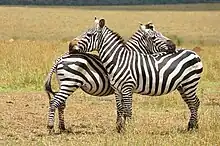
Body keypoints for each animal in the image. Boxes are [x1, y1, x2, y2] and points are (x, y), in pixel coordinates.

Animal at [45, 22, 175, 133]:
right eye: (154, 37)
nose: (173, 45)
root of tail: (61, 58)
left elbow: (120, 108)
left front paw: (119, 126)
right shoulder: (123, 87)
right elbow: (122, 108)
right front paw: (121, 127)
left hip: (65, 84)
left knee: (61, 104)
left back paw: (62, 128)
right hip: (70, 83)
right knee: (56, 101)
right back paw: (51, 127)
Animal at [72, 17, 203, 133]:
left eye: (89, 35)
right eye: (154, 37)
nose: (71, 47)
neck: (118, 60)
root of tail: (194, 53)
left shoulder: (127, 87)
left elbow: (127, 110)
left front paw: (129, 130)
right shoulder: (117, 89)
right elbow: (120, 108)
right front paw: (120, 128)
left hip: (190, 83)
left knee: (194, 103)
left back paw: (193, 128)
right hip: (183, 86)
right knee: (192, 103)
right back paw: (192, 126)